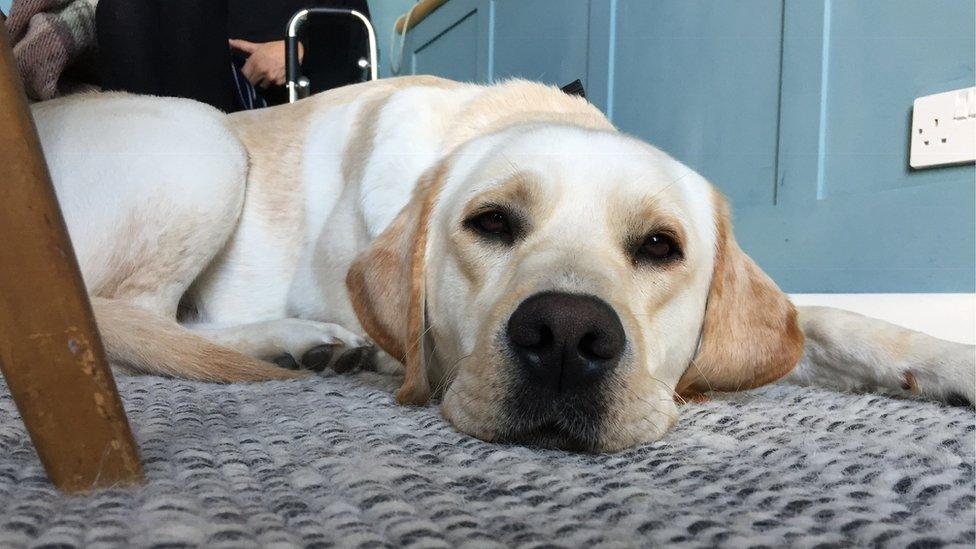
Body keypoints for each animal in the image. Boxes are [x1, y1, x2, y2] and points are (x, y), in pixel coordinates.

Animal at [34, 78, 972, 454]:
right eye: (490, 223)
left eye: (660, 246)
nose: (565, 335)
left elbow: (828, 317)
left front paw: (945, 360)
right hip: (202, 140)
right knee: (143, 316)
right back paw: (300, 338)